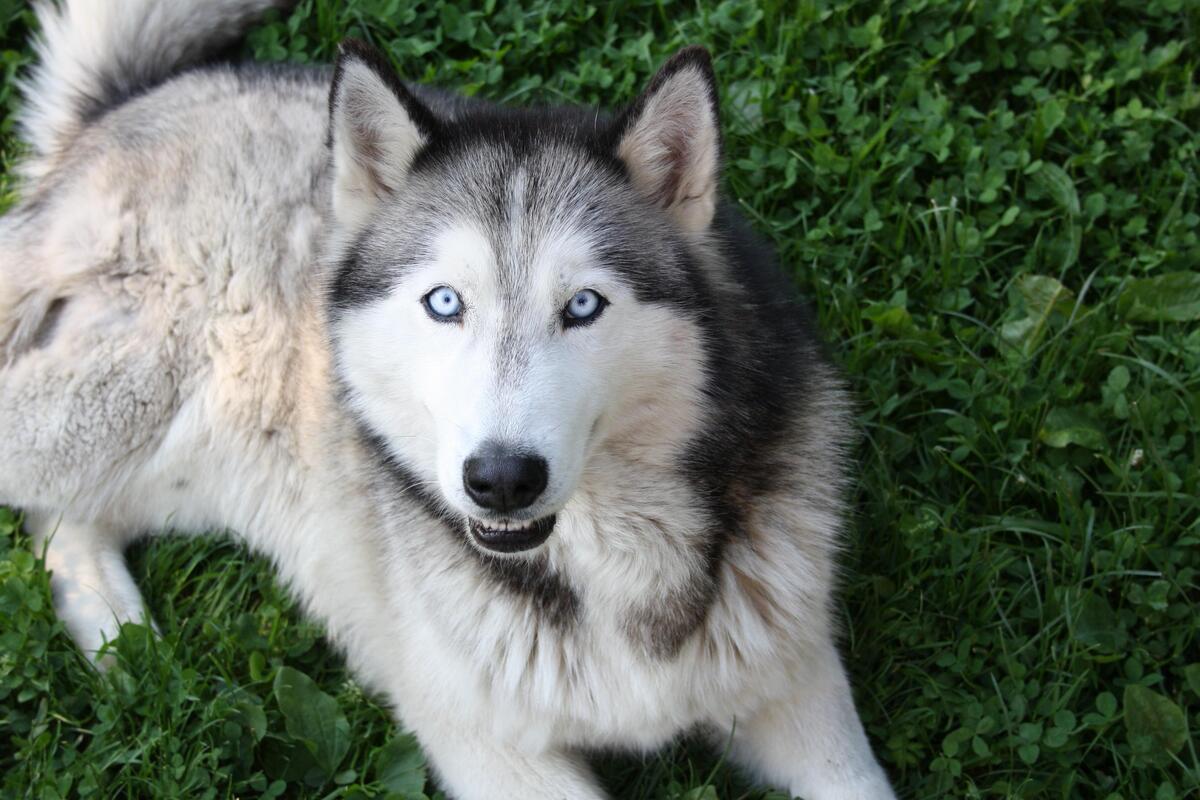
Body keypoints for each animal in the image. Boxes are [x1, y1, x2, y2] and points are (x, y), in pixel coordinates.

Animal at [0, 1, 897, 800]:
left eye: (583, 305)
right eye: (444, 303)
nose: (500, 479)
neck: (610, 569)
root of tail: (127, 106)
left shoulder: (793, 682)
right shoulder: (490, 746)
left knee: (68, 523)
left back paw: (122, 642)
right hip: (117, 404)